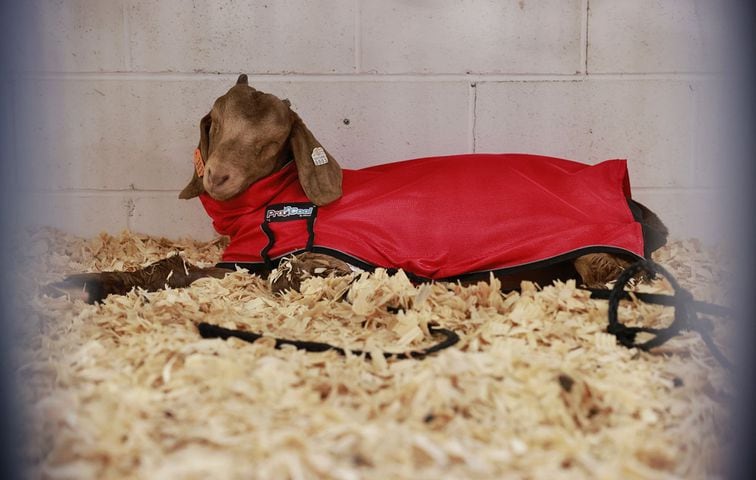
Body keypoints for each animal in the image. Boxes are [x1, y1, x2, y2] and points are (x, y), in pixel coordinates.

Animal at [50, 75, 668, 304]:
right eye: (215, 122)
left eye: (273, 141)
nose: (216, 177)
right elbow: (171, 266)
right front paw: (78, 281)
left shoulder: (286, 258)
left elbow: (194, 272)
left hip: (594, 251)